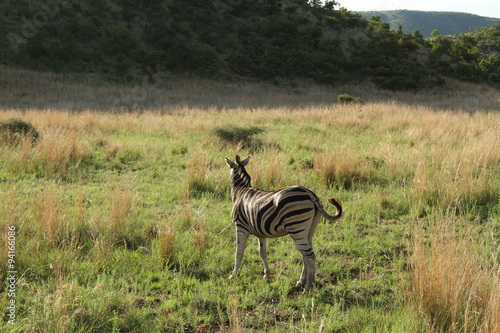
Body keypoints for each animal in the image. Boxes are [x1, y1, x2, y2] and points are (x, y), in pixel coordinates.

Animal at [225, 154, 342, 290]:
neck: (241, 190)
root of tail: (311, 194)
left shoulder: (240, 227)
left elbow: (239, 252)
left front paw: (233, 275)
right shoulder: (260, 232)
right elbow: (262, 253)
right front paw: (266, 274)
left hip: (296, 228)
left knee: (309, 256)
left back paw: (308, 286)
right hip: (309, 229)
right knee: (306, 255)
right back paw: (301, 282)